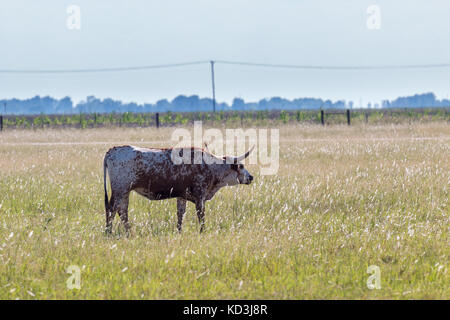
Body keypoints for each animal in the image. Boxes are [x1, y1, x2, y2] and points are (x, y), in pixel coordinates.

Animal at [103, 146, 255, 234]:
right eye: (241, 166)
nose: (251, 177)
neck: (210, 165)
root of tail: (112, 151)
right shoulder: (200, 195)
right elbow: (201, 215)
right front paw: (202, 231)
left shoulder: (182, 196)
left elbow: (180, 214)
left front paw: (179, 231)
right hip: (120, 190)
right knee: (112, 209)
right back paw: (109, 231)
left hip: (125, 192)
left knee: (122, 211)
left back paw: (128, 232)